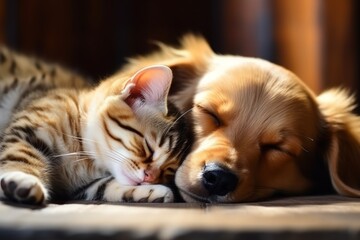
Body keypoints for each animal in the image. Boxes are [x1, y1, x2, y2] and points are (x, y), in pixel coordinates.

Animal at [0, 45, 191, 204]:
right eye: (148, 148)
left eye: (168, 170)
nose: (150, 178)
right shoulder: (25, 131)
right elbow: (20, 155)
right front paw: (22, 178)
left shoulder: (80, 186)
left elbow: (106, 185)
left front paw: (152, 191)